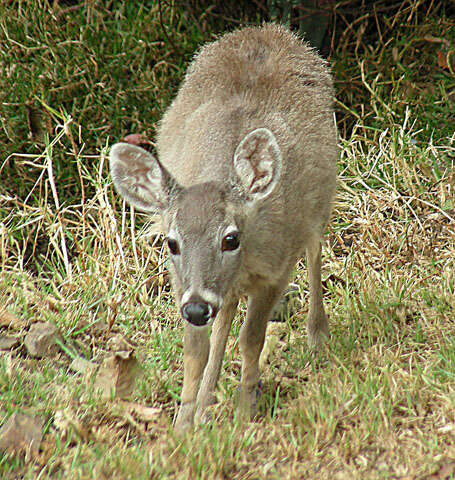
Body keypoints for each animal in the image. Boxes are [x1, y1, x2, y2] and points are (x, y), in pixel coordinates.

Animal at [109, 23, 338, 432]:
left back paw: (318, 335)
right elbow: (195, 349)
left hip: (319, 203)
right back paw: (205, 401)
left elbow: (251, 339)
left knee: (315, 253)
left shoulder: (276, 269)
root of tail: (269, 29)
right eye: (171, 243)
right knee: (226, 309)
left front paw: (246, 409)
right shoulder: (184, 283)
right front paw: (184, 422)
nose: (198, 308)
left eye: (231, 238)